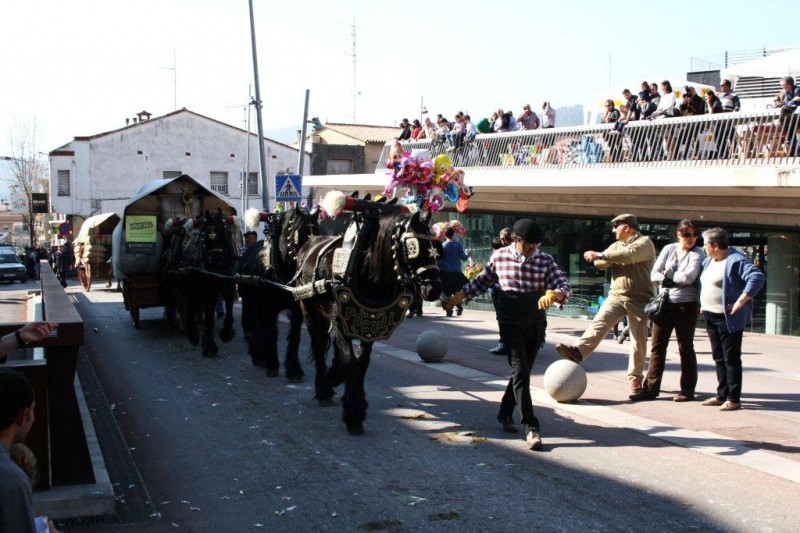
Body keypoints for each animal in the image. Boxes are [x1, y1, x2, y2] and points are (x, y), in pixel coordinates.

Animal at [238, 206, 318, 380]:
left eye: (317, 231)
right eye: (300, 233)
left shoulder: (296, 310)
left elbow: (295, 336)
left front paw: (294, 369)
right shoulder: (269, 308)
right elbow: (271, 333)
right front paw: (272, 364)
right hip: (250, 301)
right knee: (255, 324)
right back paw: (258, 354)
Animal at [294, 193, 444, 434]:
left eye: (434, 246)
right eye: (413, 247)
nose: (434, 289)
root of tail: (309, 244)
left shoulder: (370, 323)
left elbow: (362, 361)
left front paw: (359, 401)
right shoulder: (340, 318)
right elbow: (350, 361)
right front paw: (353, 413)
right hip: (310, 309)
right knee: (318, 345)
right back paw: (324, 388)